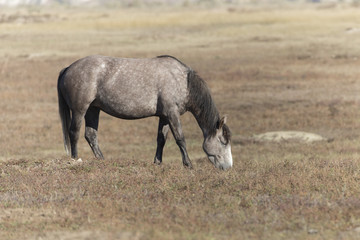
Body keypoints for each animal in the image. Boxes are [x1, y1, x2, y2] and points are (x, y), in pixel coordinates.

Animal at [57, 55, 232, 170]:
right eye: (223, 141)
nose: (228, 167)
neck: (182, 81)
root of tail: (68, 68)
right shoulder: (172, 113)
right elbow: (180, 139)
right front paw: (188, 164)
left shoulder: (164, 117)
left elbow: (161, 139)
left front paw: (158, 162)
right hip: (80, 110)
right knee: (74, 133)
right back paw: (75, 159)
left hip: (93, 110)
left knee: (91, 135)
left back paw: (102, 160)